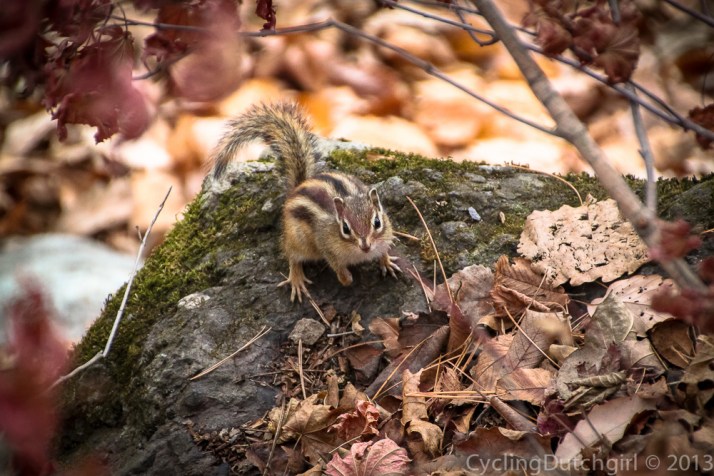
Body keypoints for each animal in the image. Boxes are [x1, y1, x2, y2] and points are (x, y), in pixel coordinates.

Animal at [212, 102, 401, 302]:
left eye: (377, 222)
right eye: (345, 229)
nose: (365, 246)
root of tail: (298, 187)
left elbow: (384, 251)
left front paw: (387, 262)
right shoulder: (326, 246)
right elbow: (337, 268)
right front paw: (347, 279)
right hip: (298, 239)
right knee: (292, 255)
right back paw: (296, 279)